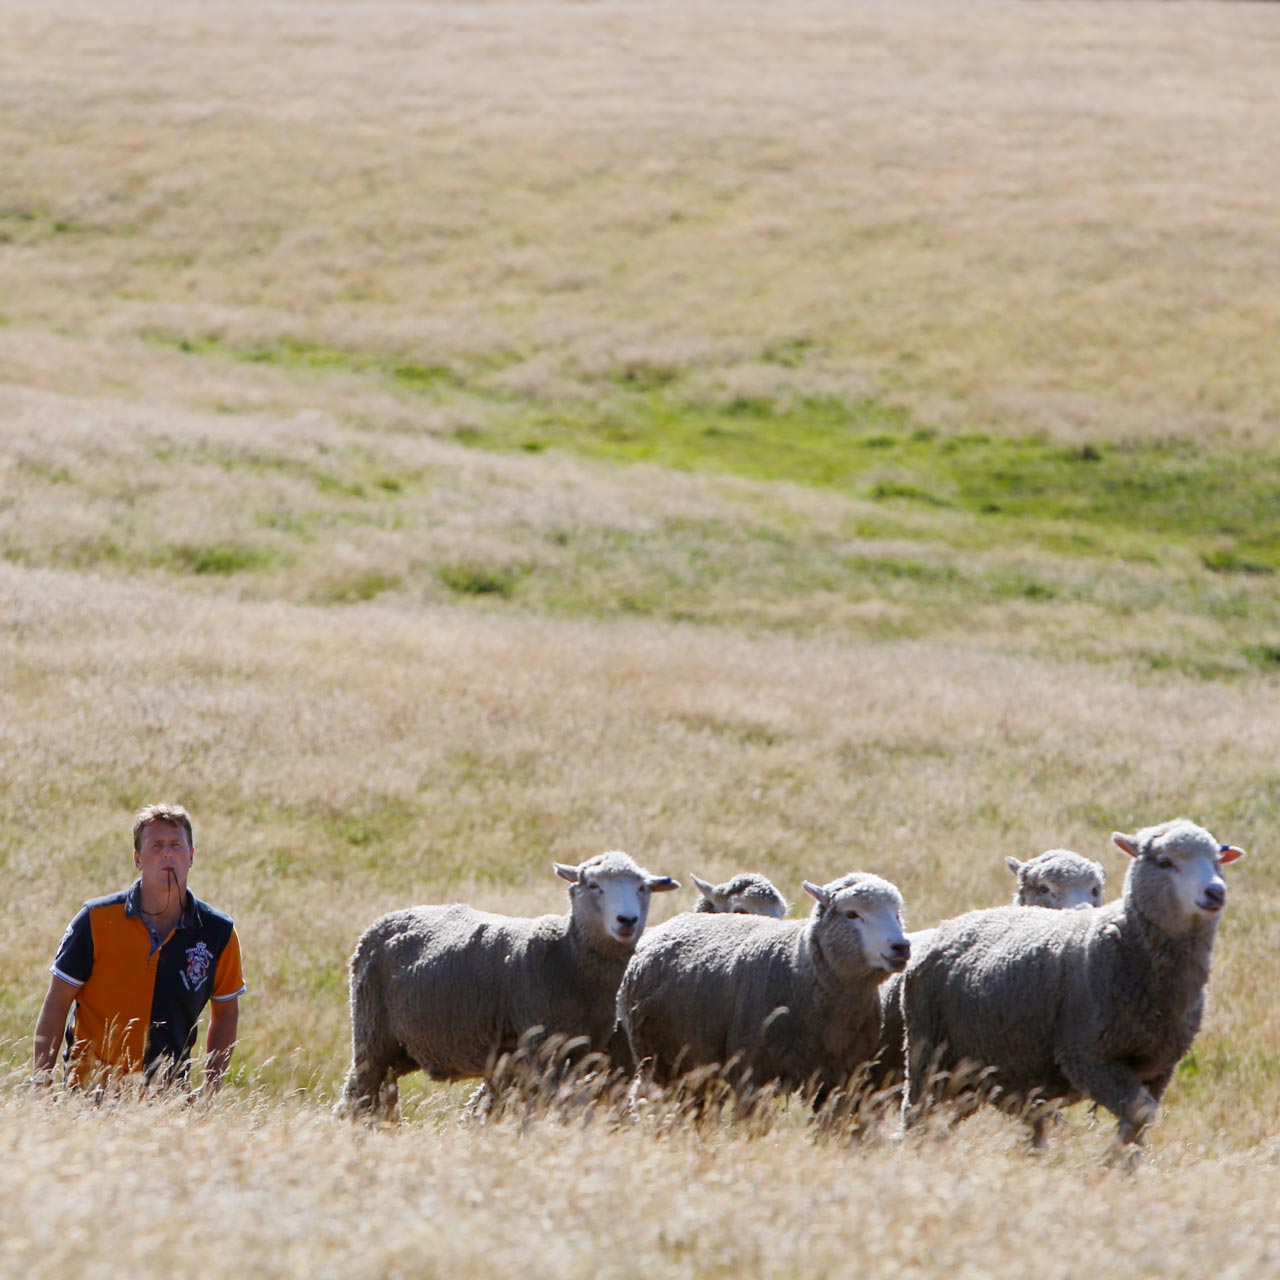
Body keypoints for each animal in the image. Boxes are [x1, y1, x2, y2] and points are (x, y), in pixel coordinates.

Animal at [337, 849, 680, 1121]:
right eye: (594, 886)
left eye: (642, 888)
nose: (627, 920)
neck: (568, 952)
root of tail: (383, 922)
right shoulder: (543, 1048)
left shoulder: (581, 1052)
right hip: (372, 1035)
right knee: (357, 1096)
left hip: (400, 1047)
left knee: (381, 1096)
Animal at [616, 875, 911, 1105]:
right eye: (852, 914)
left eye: (897, 915)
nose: (901, 947)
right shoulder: (753, 1077)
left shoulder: (840, 1081)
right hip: (661, 1063)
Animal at [901, 819, 1239, 1152]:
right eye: (1165, 862)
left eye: (1216, 861)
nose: (1215, 892)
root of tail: (954, 921)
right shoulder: (1086, 1055)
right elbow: (1140, 1111)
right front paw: (1110, 1161)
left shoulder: (1160, 1067)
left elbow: (1139, 1121)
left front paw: (1123, 1159)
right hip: (928, 1056)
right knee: (918, 1117)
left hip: (988, 1073)